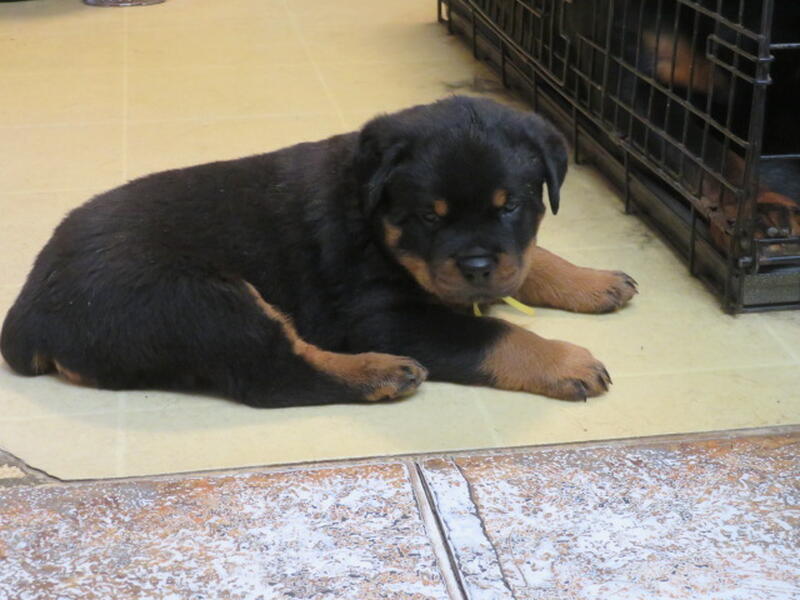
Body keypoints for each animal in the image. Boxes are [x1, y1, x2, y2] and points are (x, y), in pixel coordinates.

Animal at [1, 97, 637, 407]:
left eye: (512, 207)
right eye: (428, 218)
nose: (477, 267)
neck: (371, 217)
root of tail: (28, 311)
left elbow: (531, 260)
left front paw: (592, 280)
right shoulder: (383, 317)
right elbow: (495, 334)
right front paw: (564, 362)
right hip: (201, 300)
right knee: (272, 375)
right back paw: (381, 373)